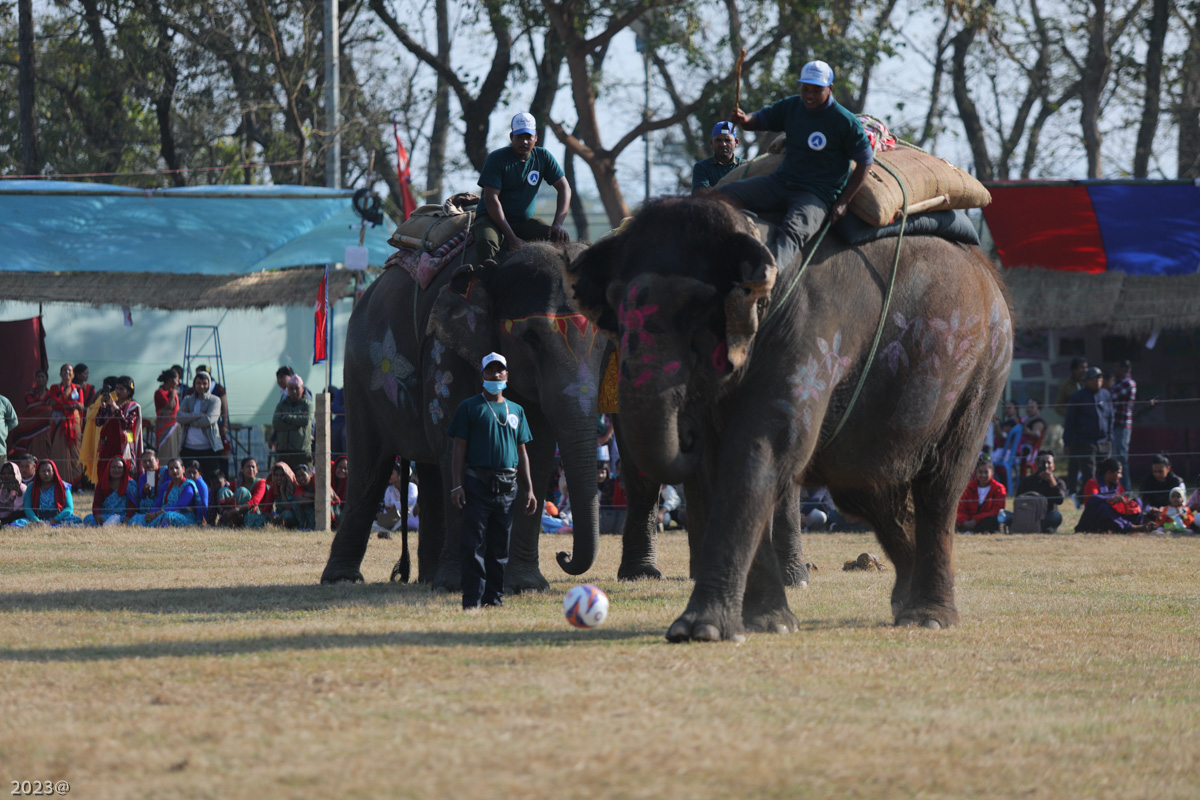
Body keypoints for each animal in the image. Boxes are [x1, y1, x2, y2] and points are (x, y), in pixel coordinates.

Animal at [564, 194, 1012, 642]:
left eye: (695, 309)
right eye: (614, 308)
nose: (685, 431)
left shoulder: (810, 332)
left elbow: (762, 452)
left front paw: (700, 630)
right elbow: (721, 464)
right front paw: (767, 624)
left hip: (982, 368)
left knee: (938, 486)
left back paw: (927, 616)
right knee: (866, 488)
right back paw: (903, 597)